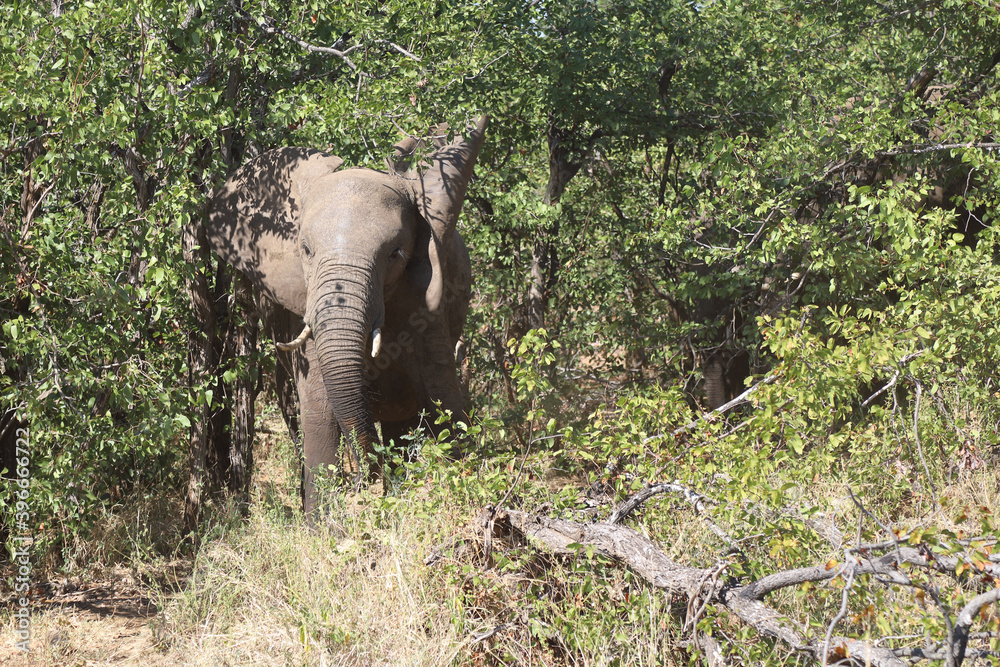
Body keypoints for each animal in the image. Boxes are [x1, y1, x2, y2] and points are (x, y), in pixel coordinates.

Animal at [206, 117, 487, 514]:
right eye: (305, 250)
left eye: (395, 253)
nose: (365, 479)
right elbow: (319, 417)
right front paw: (322, 524)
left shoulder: (427, 307)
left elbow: (445, 404)